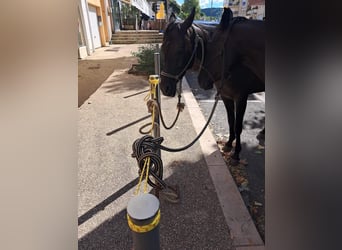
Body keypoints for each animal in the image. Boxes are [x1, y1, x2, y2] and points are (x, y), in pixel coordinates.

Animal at [160, 7, 264, 164]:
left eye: (179, 51)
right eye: (162, 49)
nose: (164, 88)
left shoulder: (241, 97)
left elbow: (238, 125)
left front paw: (236, 154)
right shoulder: (226, 95)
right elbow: (230, 121)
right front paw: (228, 144)